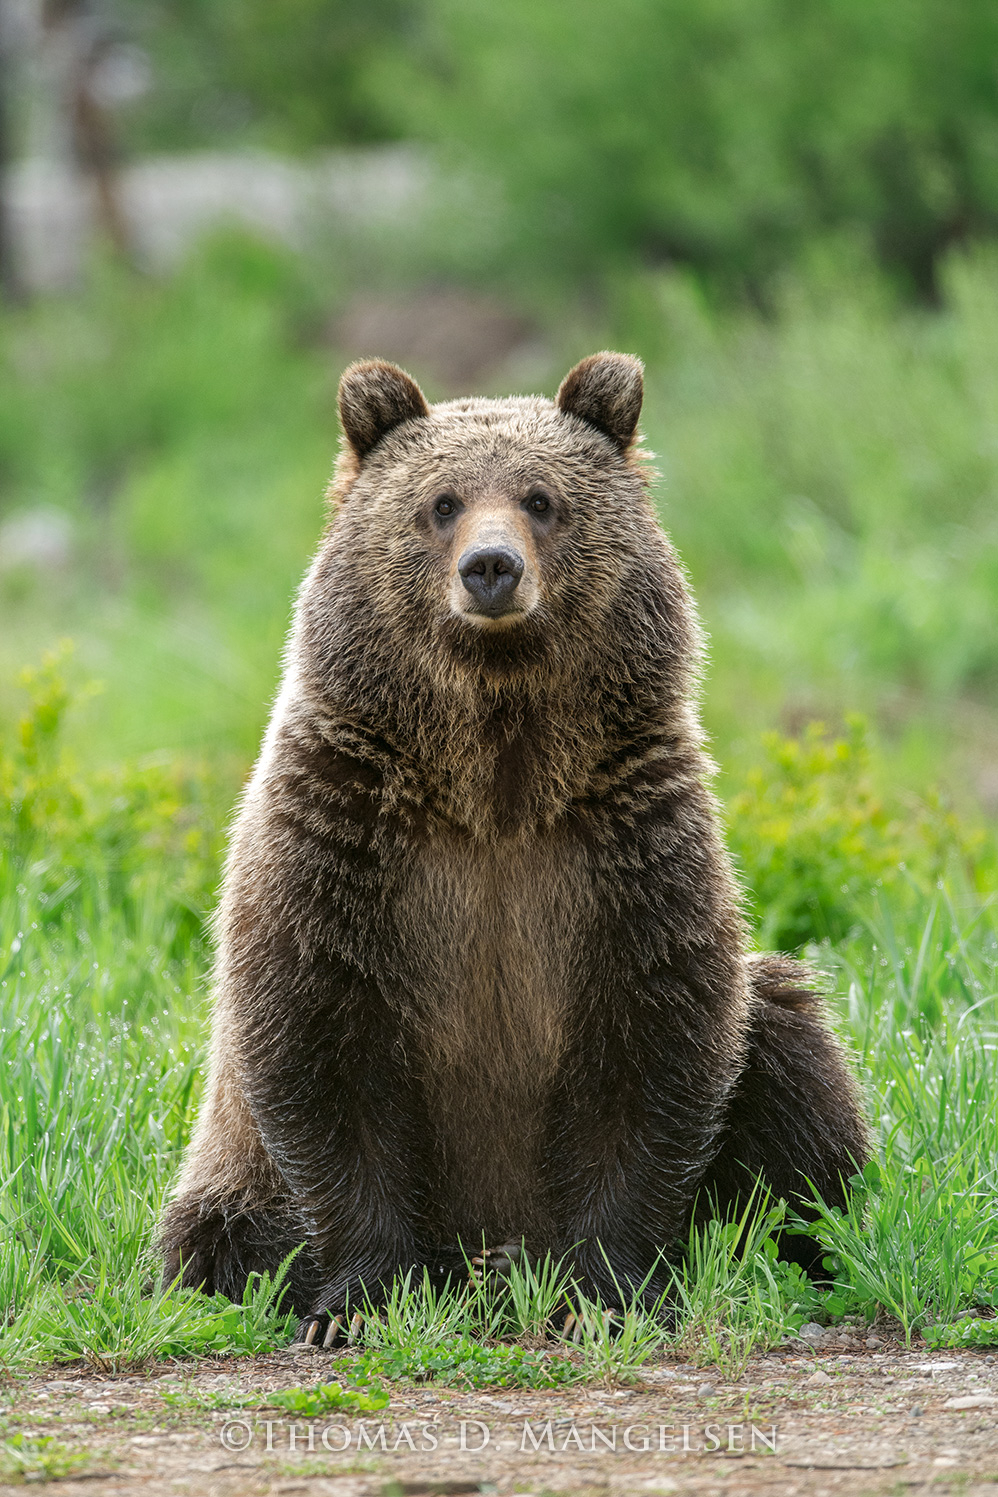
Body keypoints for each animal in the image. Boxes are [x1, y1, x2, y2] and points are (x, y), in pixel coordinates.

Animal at [159, 351, 868, 1343]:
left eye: (541, 498)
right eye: (442, 501)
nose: (490, 568)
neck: (493, 774)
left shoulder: (624, 844)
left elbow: (655, 1045)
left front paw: (601, 1293)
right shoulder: (346, 837)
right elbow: (322, 1044)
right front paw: (360, 1299)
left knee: (792, 1045)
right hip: (228, 1183)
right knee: (215, 1239)